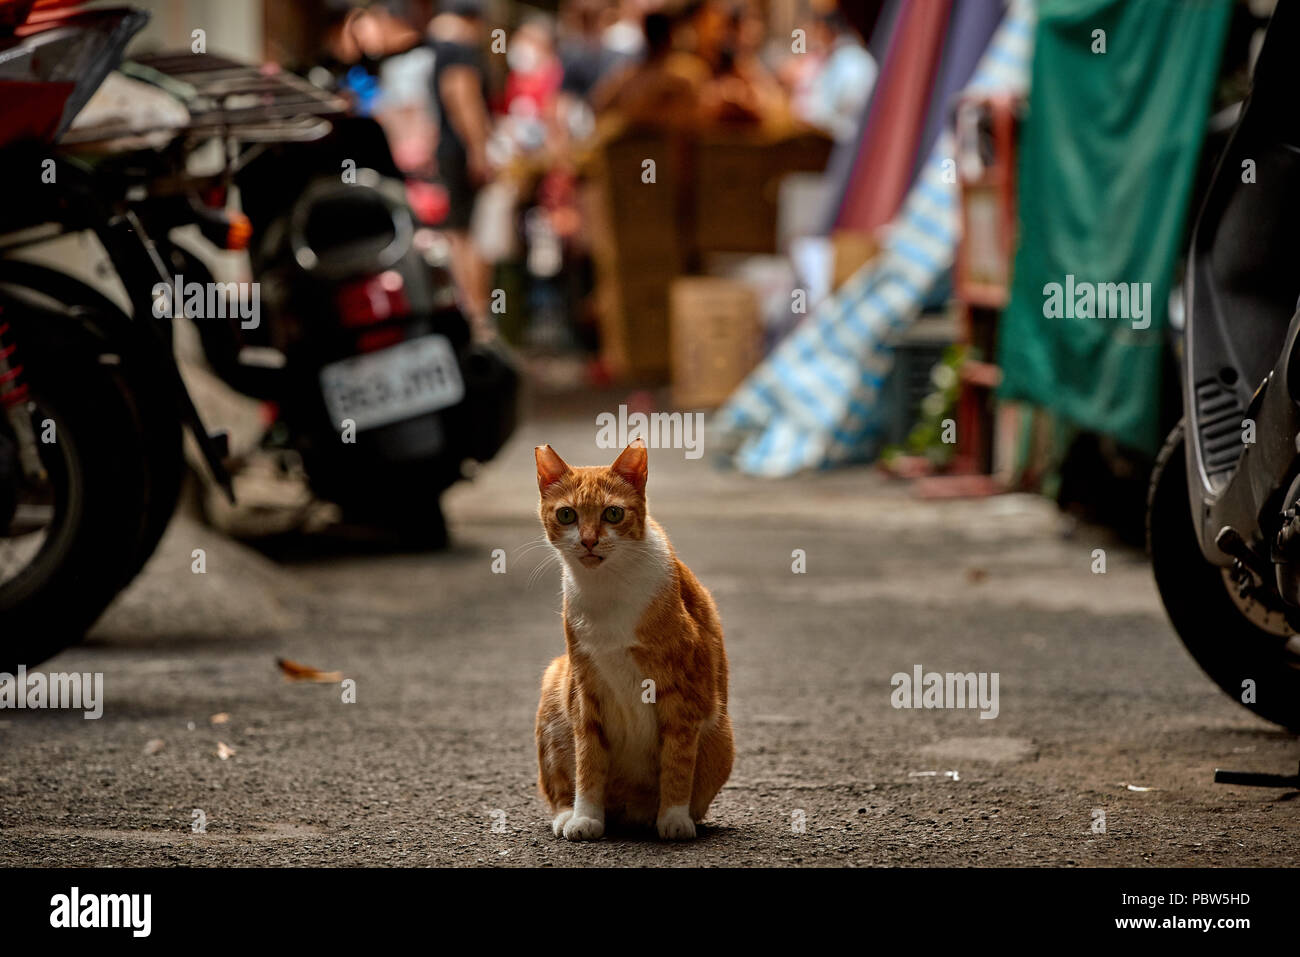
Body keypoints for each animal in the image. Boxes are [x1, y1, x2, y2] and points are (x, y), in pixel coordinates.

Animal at [527, 436, 733, 842]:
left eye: (613, 514)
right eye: (567, 515)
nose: (589, 541)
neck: (607, 590)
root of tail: (629, 813)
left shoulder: (682, 688)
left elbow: (678, 760)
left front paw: (673, 818)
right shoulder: (586, 687)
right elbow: (588, 762)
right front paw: (585, 817)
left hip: (722, 741)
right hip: (554, 689)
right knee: (558, 784)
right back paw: (566, 816)